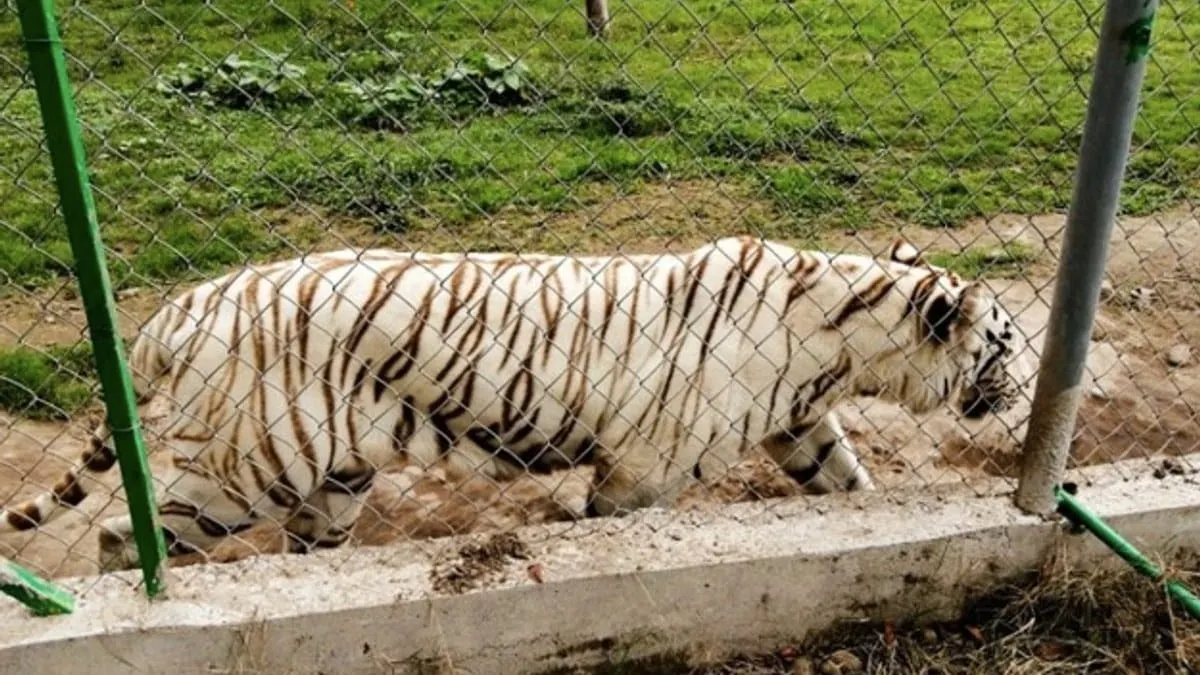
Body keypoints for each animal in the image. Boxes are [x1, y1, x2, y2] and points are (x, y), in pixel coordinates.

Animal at [0, 236, 1021, 571]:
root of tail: (179, 308)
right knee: (122, 537)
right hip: (248, 466)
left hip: (332, 479)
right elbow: (611, 524)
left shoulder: (799, 422)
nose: (1020, 389)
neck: (844, 342)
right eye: (1007, 343)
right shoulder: (644, 467)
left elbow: (846, 485)